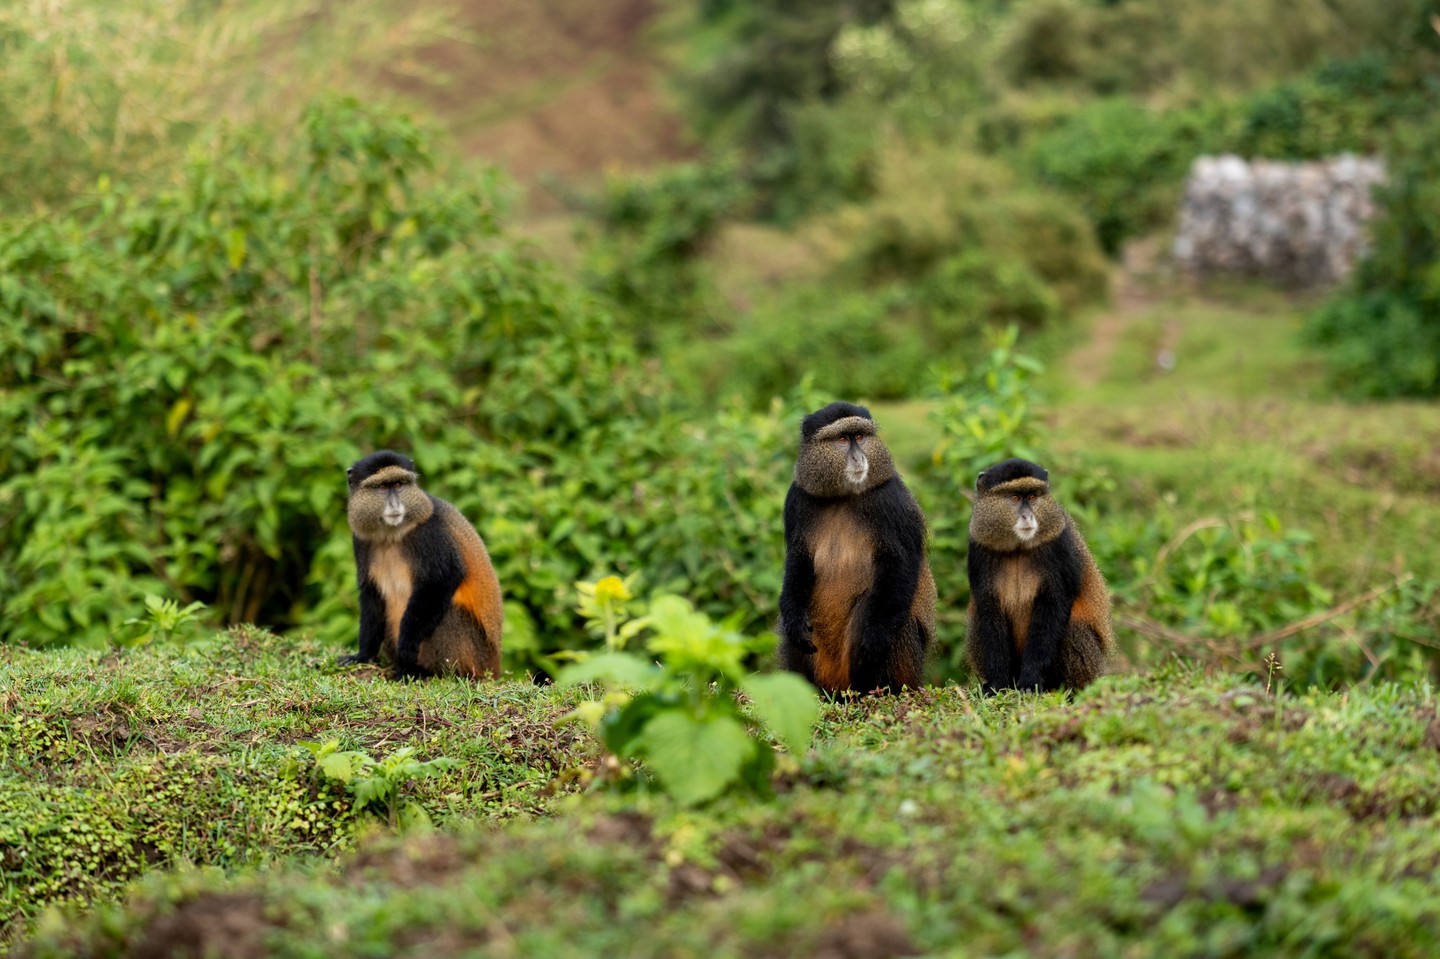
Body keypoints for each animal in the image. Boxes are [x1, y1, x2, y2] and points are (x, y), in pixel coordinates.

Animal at [340, 450, 503, 680]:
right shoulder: (360, 539)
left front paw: (407, 647)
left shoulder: (430, 532)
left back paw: (419, 671)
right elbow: (372, 594)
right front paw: (363, 656)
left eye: (399, 484)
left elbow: (441, 581)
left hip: (475, 657)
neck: (391, 535)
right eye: (382, 487)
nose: (395, 505)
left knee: (447, 612)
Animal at [776, 402, 937, 694]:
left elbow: (900, 564)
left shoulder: (891, 500)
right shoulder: (797, 499)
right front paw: (793, 617)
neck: (843, 496)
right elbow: (799, 561)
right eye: (842, 439)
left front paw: (873, 637)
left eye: (860, 437)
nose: (858, 457)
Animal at [965, 458, 1113, 693]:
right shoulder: (978, 548)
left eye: (1033, 496)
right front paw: (997, 684)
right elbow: (988, 610)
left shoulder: (1059, 544)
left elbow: (1054, 606)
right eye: (1015, 497)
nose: (1028, 516)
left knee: (1074, 627)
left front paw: (1030, 683)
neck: (1018, 547)